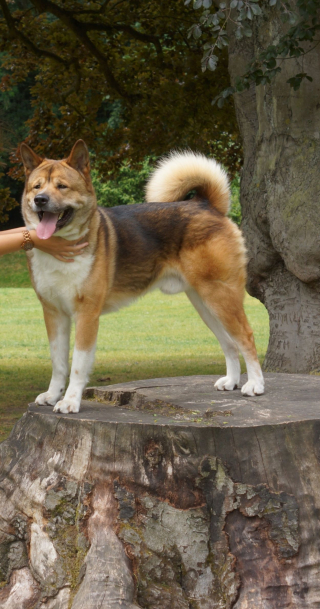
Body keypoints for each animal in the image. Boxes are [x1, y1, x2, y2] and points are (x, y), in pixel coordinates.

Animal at [20, 139, 264, 414]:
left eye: (62, 186)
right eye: (37, 186)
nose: (40, 199)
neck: (61, 248)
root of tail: (205, 205)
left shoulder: (87, 315)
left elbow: (78, 366)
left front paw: (70, 401)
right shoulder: (54, 314)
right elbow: (59, 363)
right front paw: (53, 395)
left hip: (221, 297)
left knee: (245, 337)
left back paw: (255, 385)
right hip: (205, 304)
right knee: (229, 342)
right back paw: (231, 381)